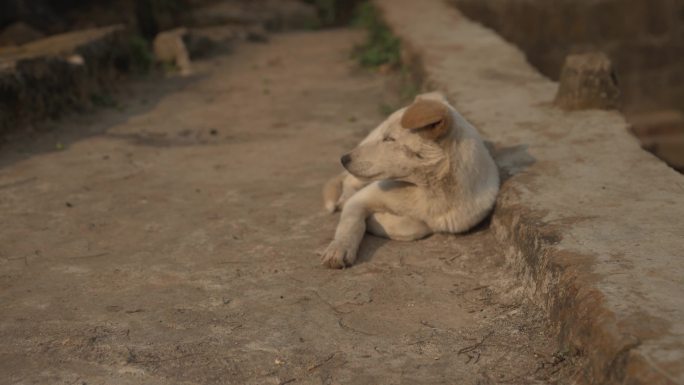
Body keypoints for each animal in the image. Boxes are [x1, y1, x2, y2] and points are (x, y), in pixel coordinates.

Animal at [318, 92, 500, 268]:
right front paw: (339, 249)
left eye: (389, 139)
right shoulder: (359, 200)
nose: (343, 159)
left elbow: (417, 226)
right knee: (348, 181)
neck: (428, 190)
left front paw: (376, 220)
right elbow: (351, 225)